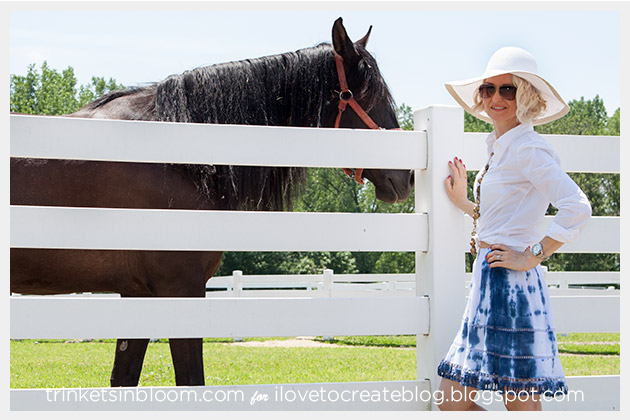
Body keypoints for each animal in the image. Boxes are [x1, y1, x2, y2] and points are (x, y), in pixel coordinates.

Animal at [11, 18, 414, 388]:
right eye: (366, 94)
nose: (407, 176)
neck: (177, 157)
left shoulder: (138, 292)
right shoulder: (181, 288)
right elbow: (191, 380)